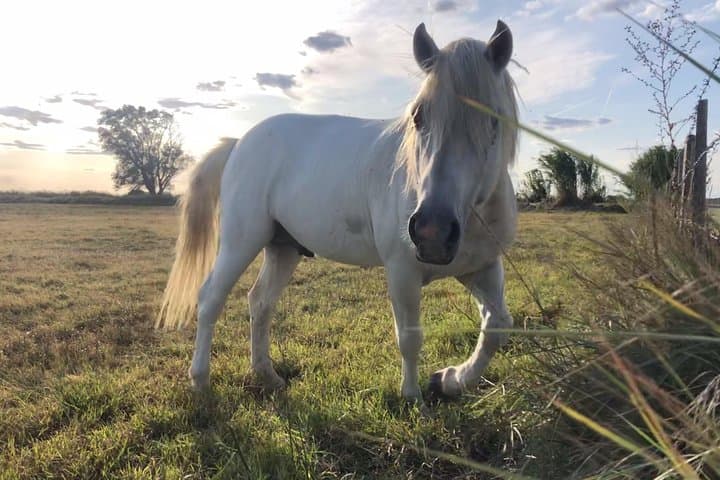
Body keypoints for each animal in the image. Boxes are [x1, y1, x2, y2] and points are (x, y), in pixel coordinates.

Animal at [157, 20, 519, 405]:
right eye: (418, 116)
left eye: (494, 119)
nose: (431, 233)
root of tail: (239, 142)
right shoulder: (402, 272)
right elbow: (410, 337)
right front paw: (412, 398)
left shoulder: (481, 267)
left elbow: (497, 326)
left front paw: (450, 379)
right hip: (241, 242)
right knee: (211, 298)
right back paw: (200, 381)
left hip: (283, 247)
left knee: (260, 302)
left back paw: (267, 375)